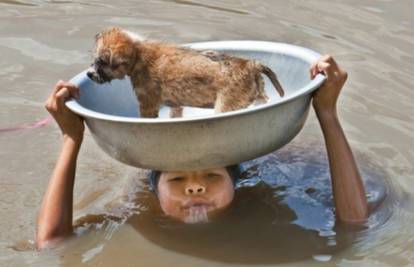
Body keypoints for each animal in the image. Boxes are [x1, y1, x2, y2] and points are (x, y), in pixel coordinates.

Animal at [85, 27, 284, 119]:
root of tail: (250, 64)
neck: (138, 54)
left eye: (101, 62)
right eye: (95, 59)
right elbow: (175, 114)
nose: (89, 74)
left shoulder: (147, 104)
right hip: (259, 95)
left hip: (225, 106)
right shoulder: (176, 105)